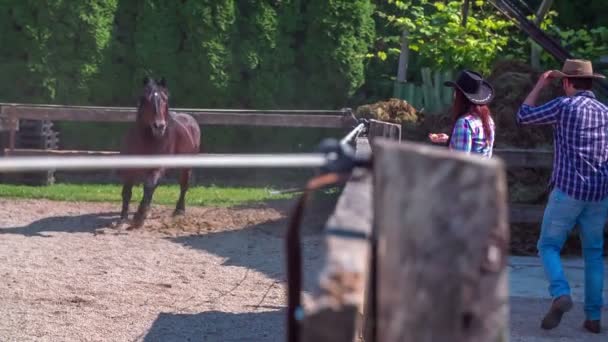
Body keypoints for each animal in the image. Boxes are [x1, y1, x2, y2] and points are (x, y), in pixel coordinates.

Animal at [119, 77, 202, 227]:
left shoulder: (157, 167)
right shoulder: (129, 168)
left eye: (165, 99)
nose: (159, 126)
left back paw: (179, 211)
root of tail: (190, 119)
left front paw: (139, 217)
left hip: (185, 167)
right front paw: (123, 218)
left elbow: (149, 186)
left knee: (183, 186)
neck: (147, 140)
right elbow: (127, 191)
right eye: (146, 99)